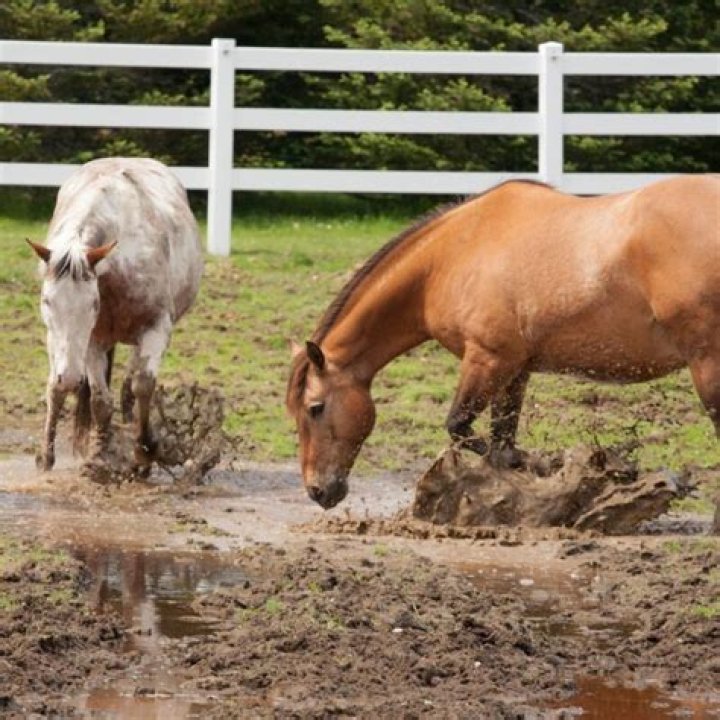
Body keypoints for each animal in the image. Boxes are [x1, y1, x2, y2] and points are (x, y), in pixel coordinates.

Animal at [28, 157, 203, 474]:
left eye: (92, 304)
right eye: (47, 301)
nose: (70, 377)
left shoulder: (155, 328)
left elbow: (142, 385)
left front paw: (145, 449)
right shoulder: (92, 341)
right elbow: (100, 401)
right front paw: (100, 455)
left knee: (128, 385)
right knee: (54, 389)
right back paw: (46, 455)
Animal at [287, 175, 720, 509]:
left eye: (315, 408)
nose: (317, 490)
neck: (453, 254)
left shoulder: (487, 359)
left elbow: (461, 426)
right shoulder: (515, 368)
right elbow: (501, 439)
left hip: (706, 365)